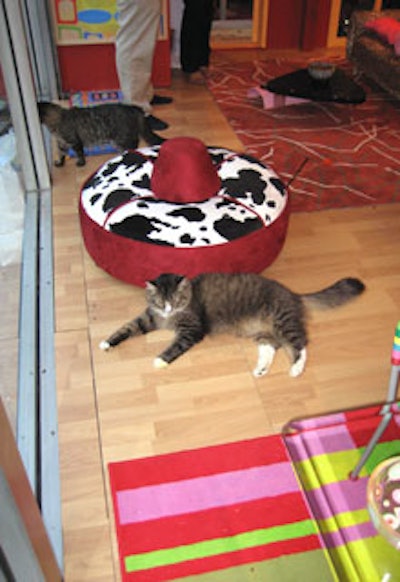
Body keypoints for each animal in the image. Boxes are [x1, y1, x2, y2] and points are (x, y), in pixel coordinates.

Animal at [100, 274, 366, 378]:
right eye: (159, 301)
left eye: (174, 300)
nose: (167, 309)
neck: (169, 318)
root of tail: (293, 294)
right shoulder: (148, 318)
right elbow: (125, 329)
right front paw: (106, 342)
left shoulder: (191, 330)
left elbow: (174, 347)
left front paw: (159, 361)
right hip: (263, 332)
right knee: (272, 348)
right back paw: (260, 370)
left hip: (282, 322)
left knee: (300, 344)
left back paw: (296, 369)